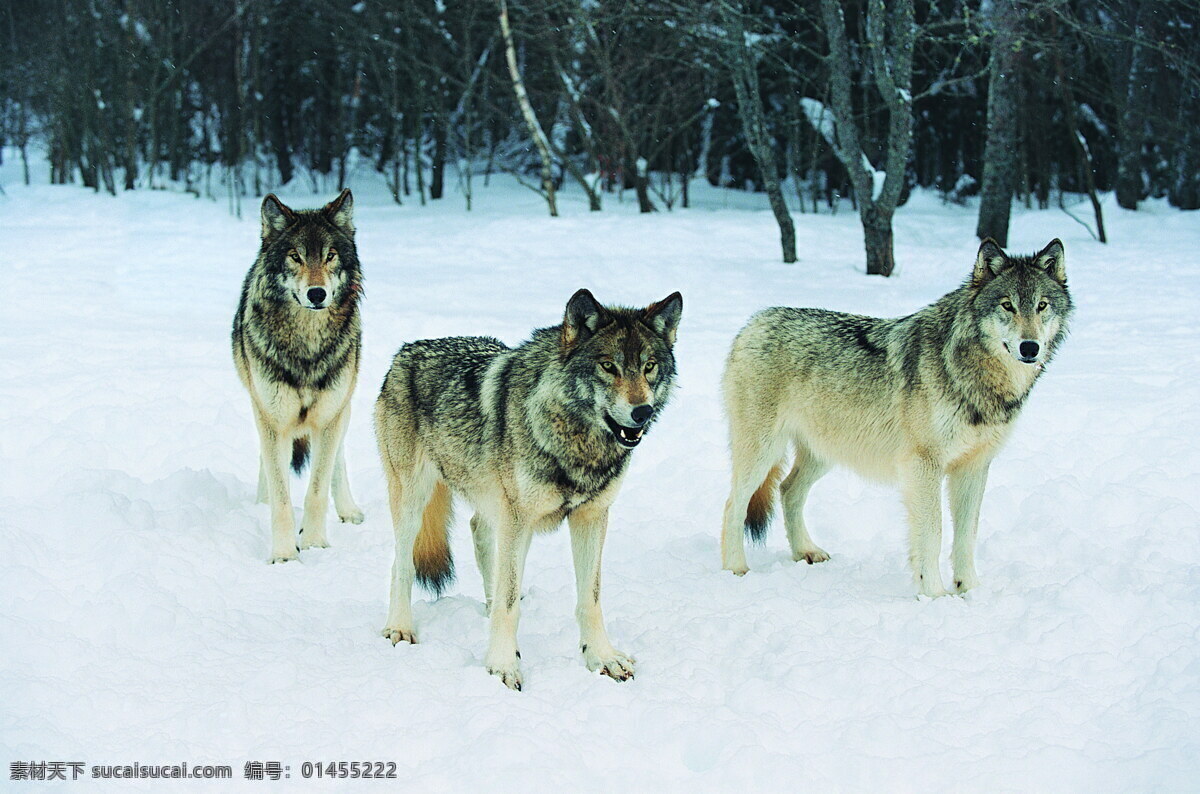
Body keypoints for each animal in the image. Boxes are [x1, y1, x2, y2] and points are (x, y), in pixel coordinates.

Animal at [231, 191, 362, 566]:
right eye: (295, 257)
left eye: (330, 255)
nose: (317, 294)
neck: (307, 343)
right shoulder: (273, 419)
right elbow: (282, 496)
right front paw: (285, 555)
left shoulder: (329, 416)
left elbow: (317, 488)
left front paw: (316, 543)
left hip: (342, 407)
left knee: (337, 459)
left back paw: (348, 510)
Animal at [374, 287, 681, 690]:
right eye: (607, 366)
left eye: (649, 367)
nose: (641, 412)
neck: (576, 439)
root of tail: (406, 350)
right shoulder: (518, 519)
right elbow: (509, 608)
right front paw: (502, 665)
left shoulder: (591, 517)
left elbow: (591, 599)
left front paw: (602, 658)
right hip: (416, 500)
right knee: (401, 562)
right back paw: (400, 627)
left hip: (494, 504)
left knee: (480, 534)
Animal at [715, 241, 1075, 597]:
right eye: (1007, 306)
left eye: (1041, 305)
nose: (1030, 347)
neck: (973, 373)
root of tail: (755, 321)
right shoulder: (923, 465)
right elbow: (933, 533)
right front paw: (935, 595)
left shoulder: (974, 467)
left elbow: (966, 536)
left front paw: (970, 590)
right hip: (764, 452)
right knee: (734, 504)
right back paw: (736, 569)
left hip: (826, 453)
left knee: (788, 490)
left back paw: (806, 551)